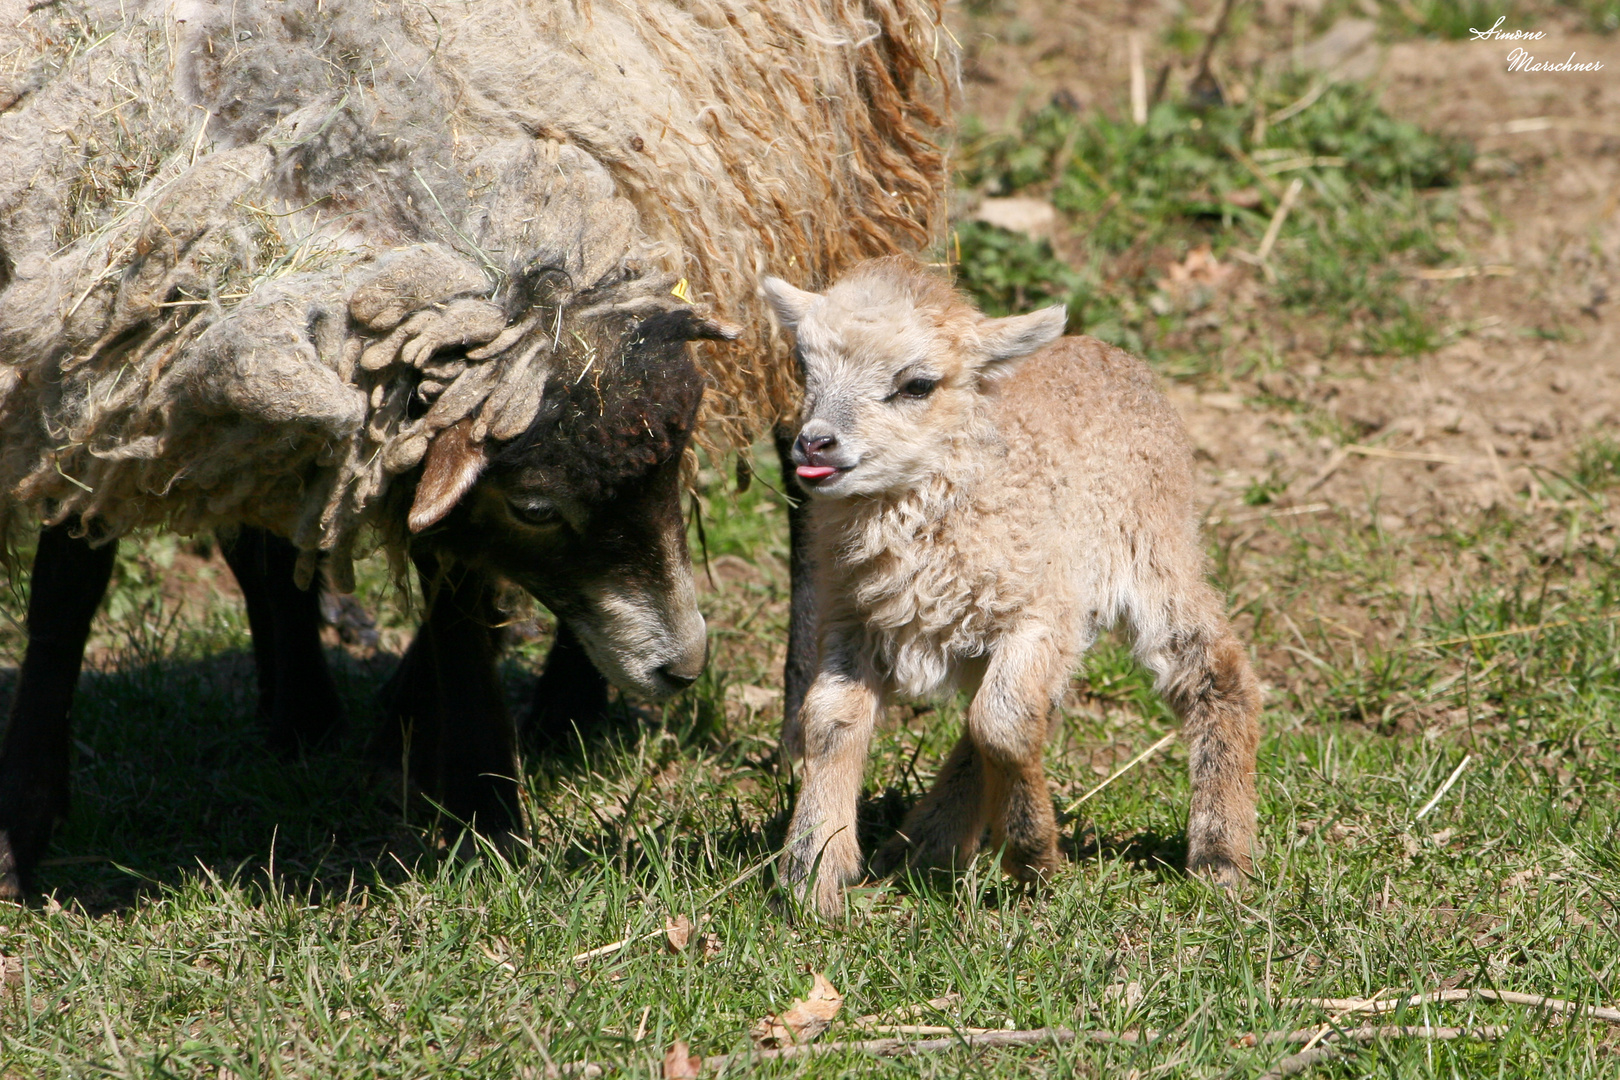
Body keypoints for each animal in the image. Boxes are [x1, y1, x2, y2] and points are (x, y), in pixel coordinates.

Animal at [0, 0, 946, 893]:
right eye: (535, 508)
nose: (684, 666)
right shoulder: (97, 397)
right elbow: (66, 598)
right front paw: (24, 830)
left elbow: (453, 598)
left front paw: (489, 811)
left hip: (816, 202)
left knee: (806, 469)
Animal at [761, 257, 1263, 919]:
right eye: (804, 367)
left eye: (917, 385)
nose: (815, 443)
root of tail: (1106, 350)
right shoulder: (852, 617)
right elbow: (830, 721)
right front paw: (814, 872)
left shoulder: (1040, 611)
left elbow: (1001, 721)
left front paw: (1034, 857)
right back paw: (926, 844)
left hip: (1152, 545)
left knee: (1214, 669)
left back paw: (1220, 855)